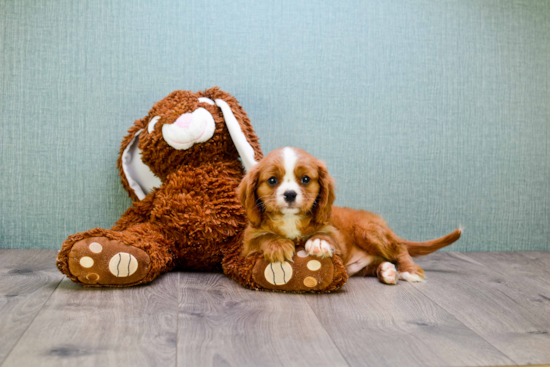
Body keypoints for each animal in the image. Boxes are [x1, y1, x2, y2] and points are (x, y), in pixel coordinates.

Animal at [237, 148, 462, 286]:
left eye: (306, 179)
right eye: (272, 180)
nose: (290, 194)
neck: (291, 219)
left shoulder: (334, 231)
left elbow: (326, 236)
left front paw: (318, 242)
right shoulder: (248, 241)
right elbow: (263, 237)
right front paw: (278, 245)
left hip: (368, 231)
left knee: (400, 248)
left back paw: (409, 270)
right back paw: (387, 271)